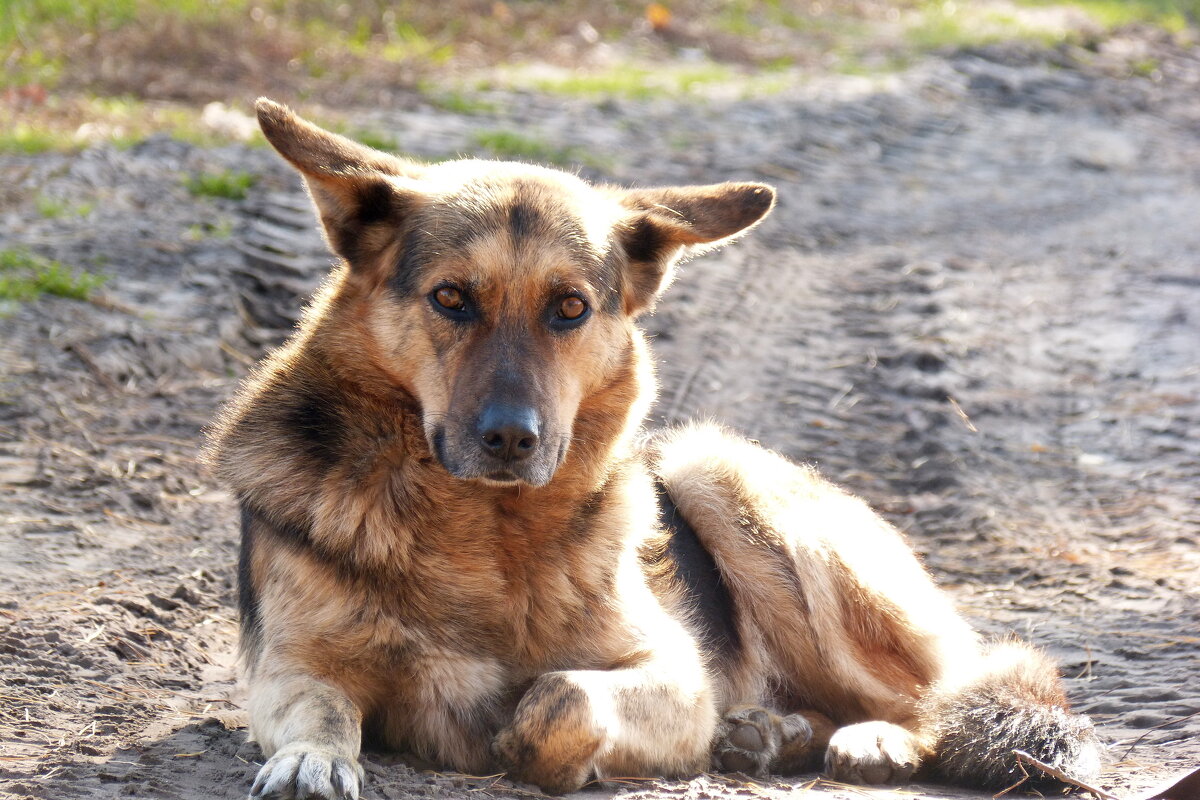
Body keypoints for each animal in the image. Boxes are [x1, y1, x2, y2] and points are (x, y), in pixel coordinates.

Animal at [204, 100, 1099, 800]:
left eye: (569, 308)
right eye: (451, 298)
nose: (511, 439)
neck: (481, 531)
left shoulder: (673, 674)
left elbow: (558, 697)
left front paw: (535, 743)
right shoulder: (290, 667)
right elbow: (321, 710)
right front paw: (312, 760)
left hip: (719, 474)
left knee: (937, 695)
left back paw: (869, 739)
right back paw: (769, 733)